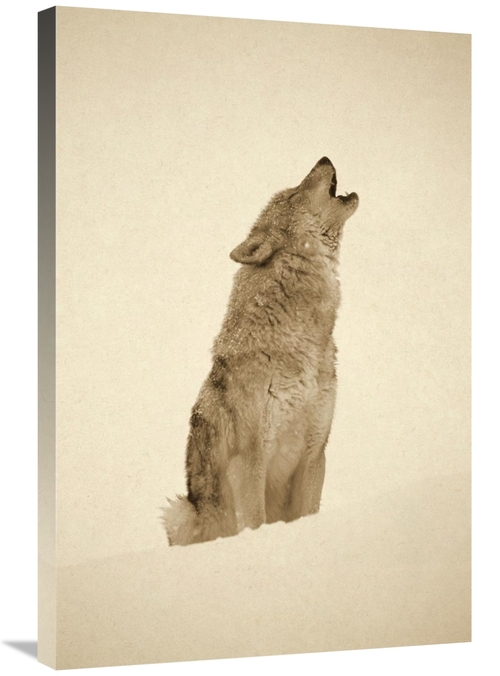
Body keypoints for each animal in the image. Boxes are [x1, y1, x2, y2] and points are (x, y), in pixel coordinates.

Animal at [163, 157, 358, 545]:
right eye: (295, 194)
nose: (324, 158)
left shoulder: (315, 453)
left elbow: (308, 512)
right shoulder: (249, 462)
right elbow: (255, 521)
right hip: (180, 511)